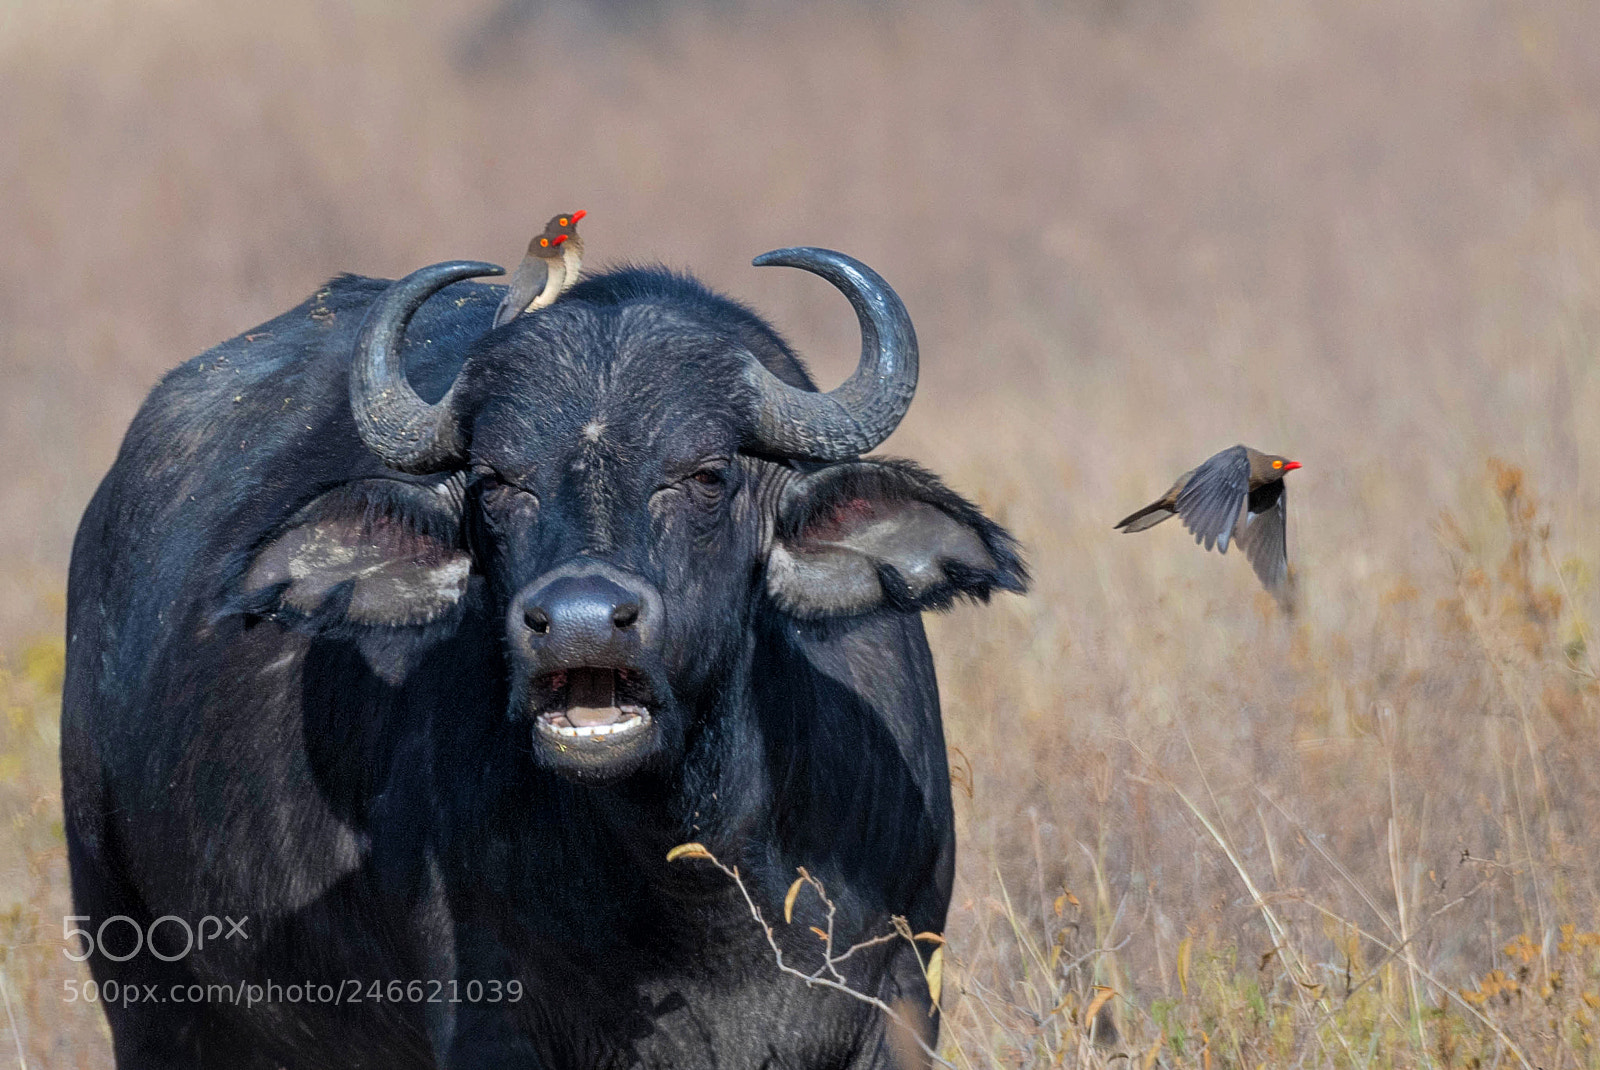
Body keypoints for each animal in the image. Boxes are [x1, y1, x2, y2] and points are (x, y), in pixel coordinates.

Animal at [62, 244, 1027, 1068]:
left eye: (707, 473)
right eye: (496, 480)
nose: (580, 621)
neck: (705, 888)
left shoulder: (903, 1002)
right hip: (137, 981)